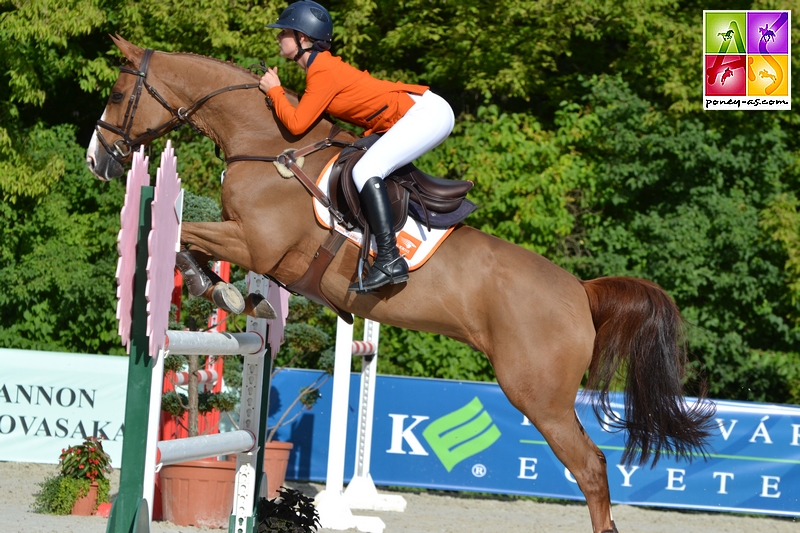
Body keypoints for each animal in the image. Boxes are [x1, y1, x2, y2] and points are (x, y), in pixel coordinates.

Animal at [86, 37, 712, 532]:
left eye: (116, 95)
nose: (97, 161)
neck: (265, 144)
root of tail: (582, 291)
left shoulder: (255, 243)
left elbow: (181, 232)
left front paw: (214, 286)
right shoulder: (249, 243)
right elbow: (195, 241)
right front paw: (235, 292)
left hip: (538, 395)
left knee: (590, 468)